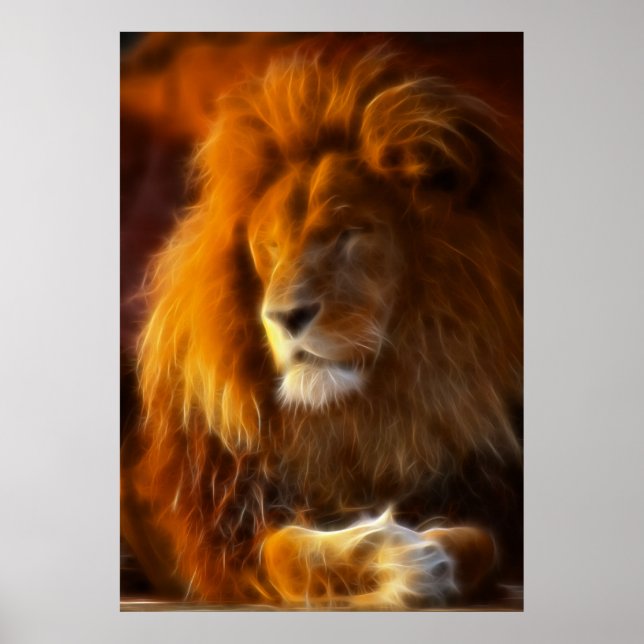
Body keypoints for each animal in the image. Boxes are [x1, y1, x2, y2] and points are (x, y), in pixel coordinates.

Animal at [121, 43, 523, 609]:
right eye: (269, 245)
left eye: (346, 234)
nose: (283, 316)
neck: (352, 420)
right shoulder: (228, 537)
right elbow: (289, 552)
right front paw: (386, 559)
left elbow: (480, 544)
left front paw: (434, 557)